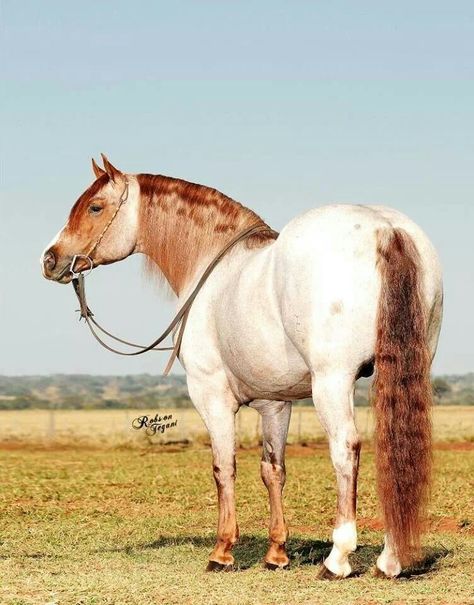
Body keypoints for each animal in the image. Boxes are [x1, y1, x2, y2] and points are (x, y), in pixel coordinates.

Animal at [41, 155, 444, 576]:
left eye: (95, 207)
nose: (50, 260)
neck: (212, 265)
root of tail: (386, 229)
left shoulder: (211, 395)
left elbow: (224, 466)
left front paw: (222, 551)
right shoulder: (276, 404)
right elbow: (273, 470)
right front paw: (276, 554)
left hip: (332, 382)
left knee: (345, 448)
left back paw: (338, 559)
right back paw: (390, 559)